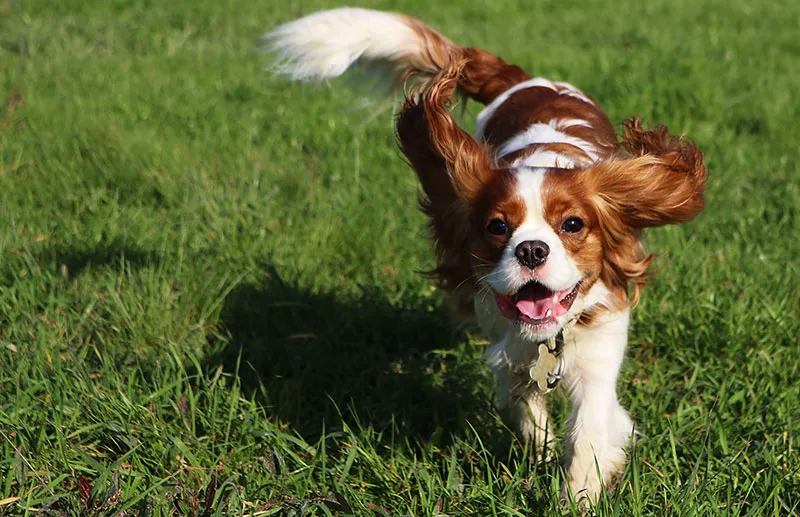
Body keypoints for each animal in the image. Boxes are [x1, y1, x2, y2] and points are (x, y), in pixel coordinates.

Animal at [264, 7, 708, 500]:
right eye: (498, 226)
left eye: (573, 224)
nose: (531, 250)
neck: (547, 338)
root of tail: (526, 80)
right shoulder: (504, 344)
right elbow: (520, 402)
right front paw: (541, 451)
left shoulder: (600, 348)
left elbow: (589, 433)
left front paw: (576, 497)